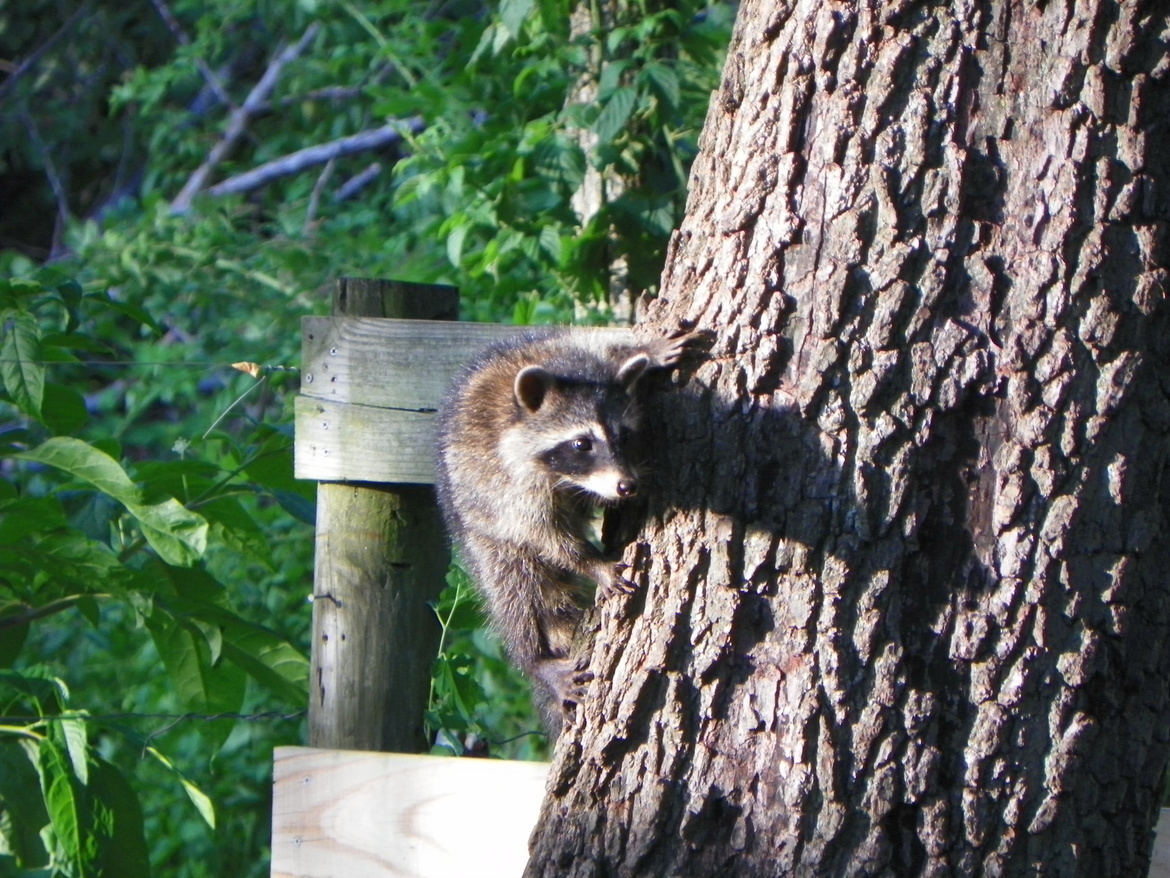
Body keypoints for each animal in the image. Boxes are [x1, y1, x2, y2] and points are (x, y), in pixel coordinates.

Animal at [434, 327, 699, 733]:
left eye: (624, 436)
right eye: (581, 444)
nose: (627, 486)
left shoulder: (573, 345)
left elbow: (603, 339)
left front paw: (647, 350)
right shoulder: (509, 484)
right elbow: (544, 535)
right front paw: (589, 561)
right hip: (482, 534)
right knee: (518, 591)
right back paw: (535, 659)